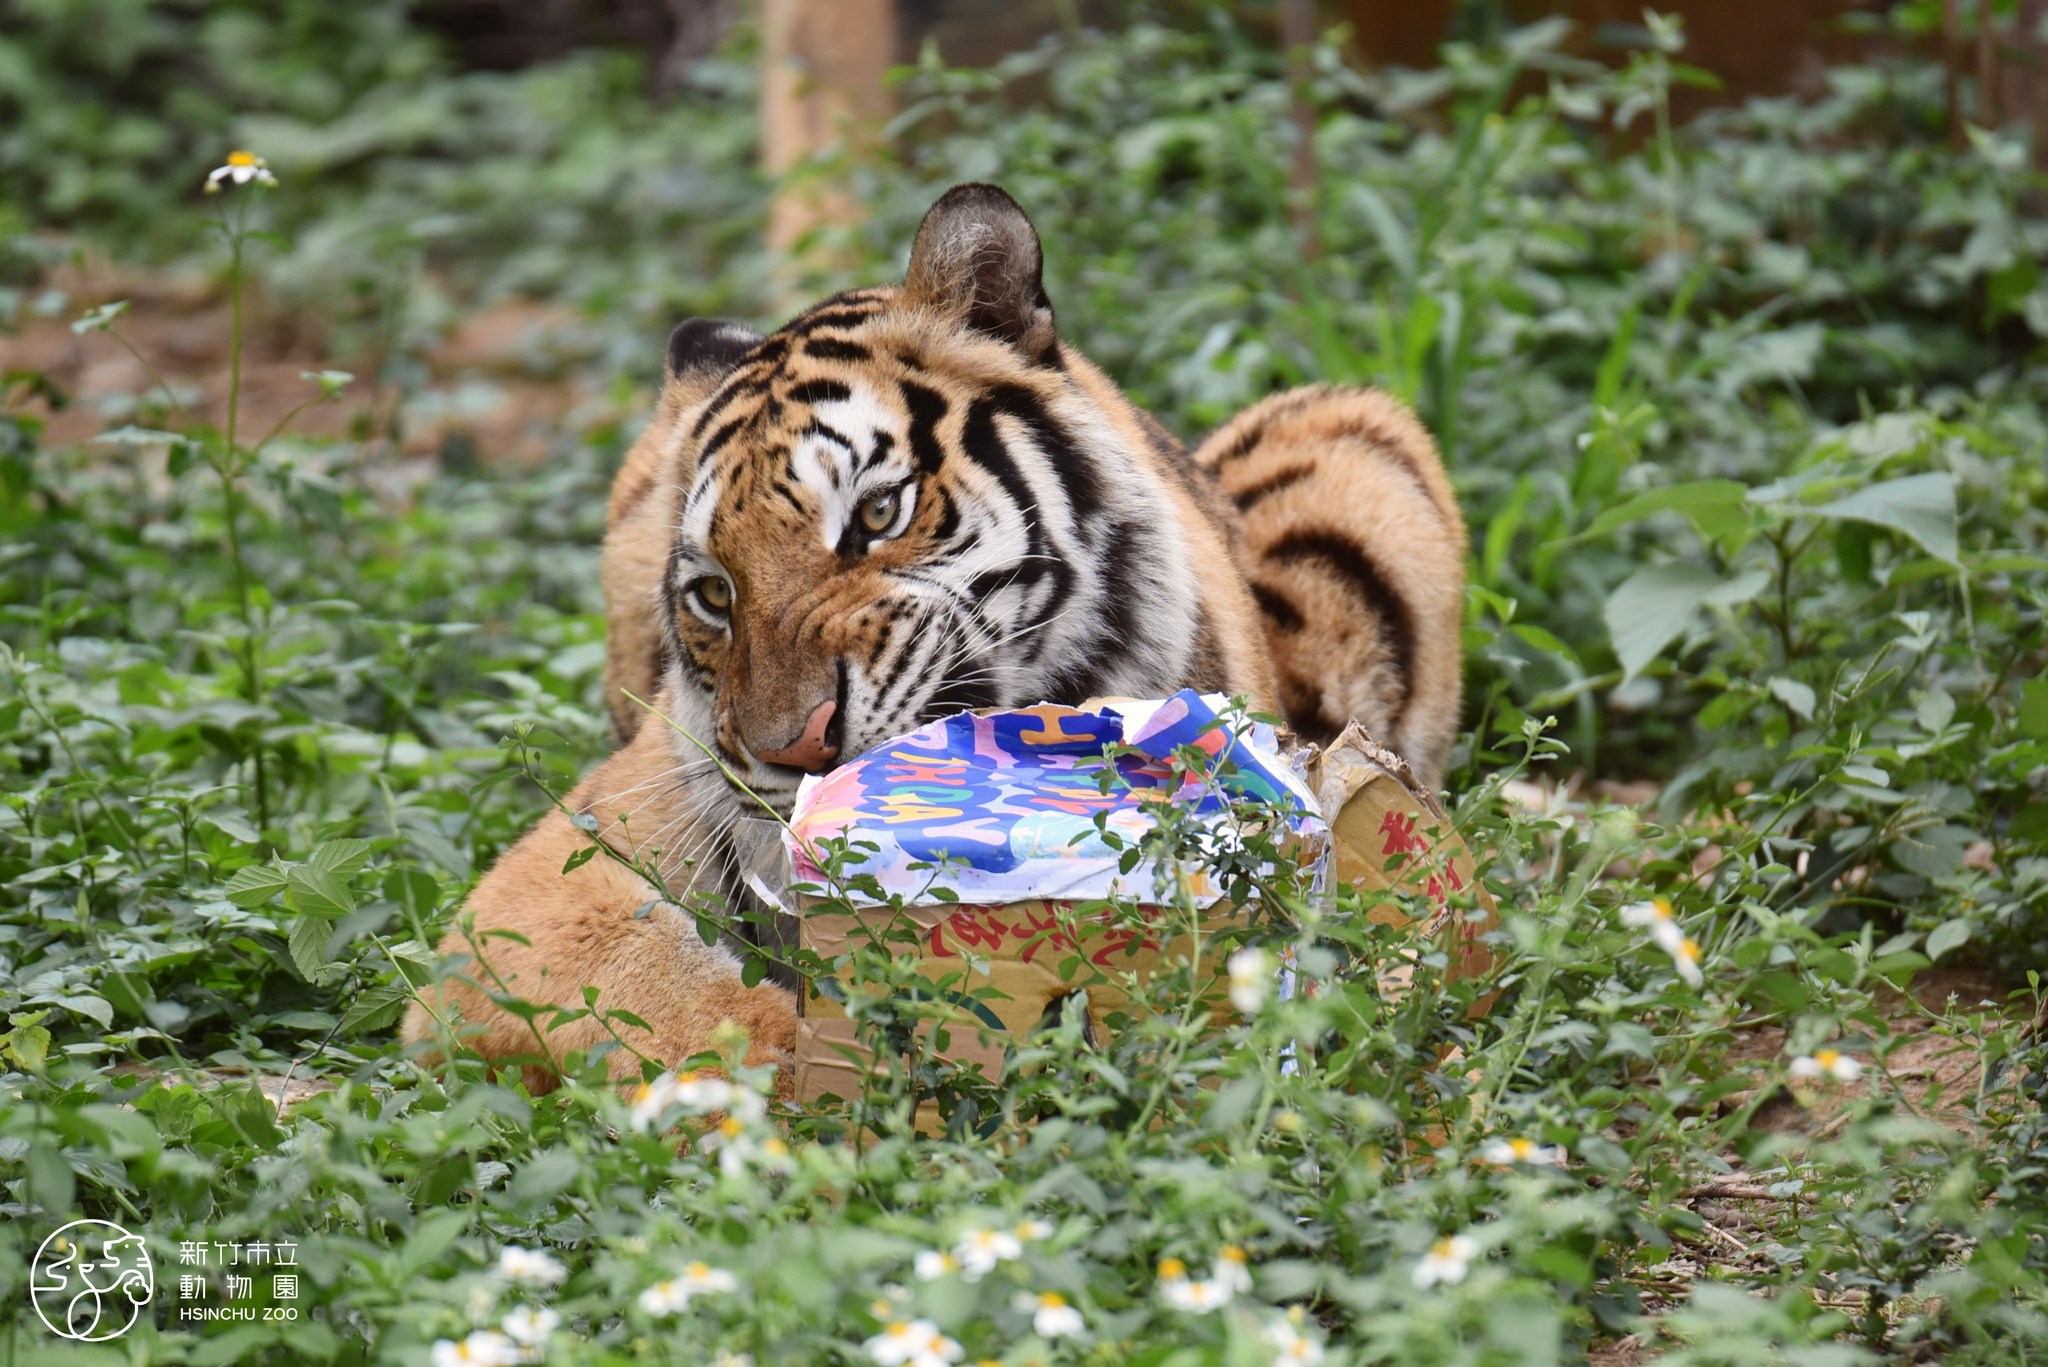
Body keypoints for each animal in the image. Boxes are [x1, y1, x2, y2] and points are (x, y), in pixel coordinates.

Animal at [399, 181, 1466, 1090]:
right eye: (713, 594)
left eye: (878, 513)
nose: (790, 749)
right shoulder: (536, 895)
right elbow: (657, 989)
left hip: (1354, 428)